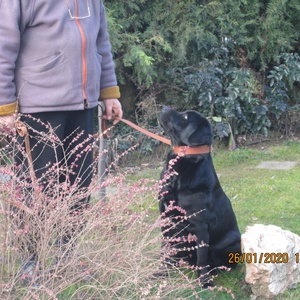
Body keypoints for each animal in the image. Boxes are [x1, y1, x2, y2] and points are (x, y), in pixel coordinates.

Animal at [158, 106, 240, 288]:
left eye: (185, 117)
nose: (163, 107)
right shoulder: (165, 218)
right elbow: (165, 249)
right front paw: (160, 272)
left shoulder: (200, 227)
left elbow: (202, 257)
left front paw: (205, 282)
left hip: (229, 243)